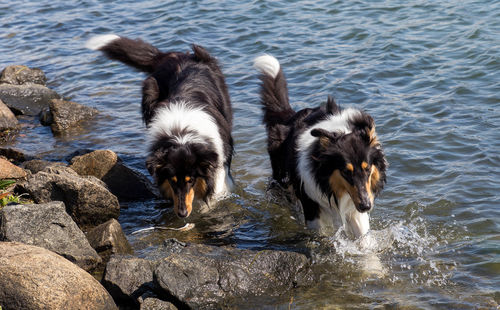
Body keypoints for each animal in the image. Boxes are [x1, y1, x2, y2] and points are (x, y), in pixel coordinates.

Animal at [86, 34, 234, 218]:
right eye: (172, 180)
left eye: (191, 180)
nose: (182, 214)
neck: (181, 133)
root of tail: (170, 55)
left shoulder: (219, 159)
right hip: (150, 93)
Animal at [254, 54, 386, 239]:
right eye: (345, 172)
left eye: (368, 169)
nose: (366, 206)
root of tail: (289, 116)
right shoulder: (312, 207)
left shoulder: (354, 205)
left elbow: (363, 237)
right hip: (282, 178)